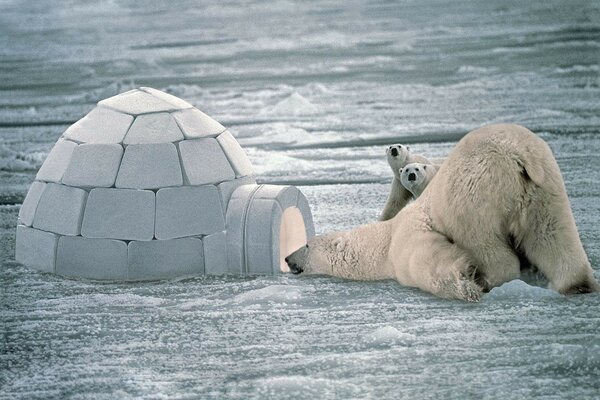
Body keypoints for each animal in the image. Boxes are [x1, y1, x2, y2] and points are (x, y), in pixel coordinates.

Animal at [288, 123, 596, 302]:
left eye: (307, 244)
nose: (288, 258)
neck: (383, 240)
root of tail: (518, 154)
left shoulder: (407, 237)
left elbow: (426, 259)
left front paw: (465, 280)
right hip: (544, 187)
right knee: (553, 234)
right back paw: (577, 284)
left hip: (473, 193)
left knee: (485, 241)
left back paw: (490, 278)